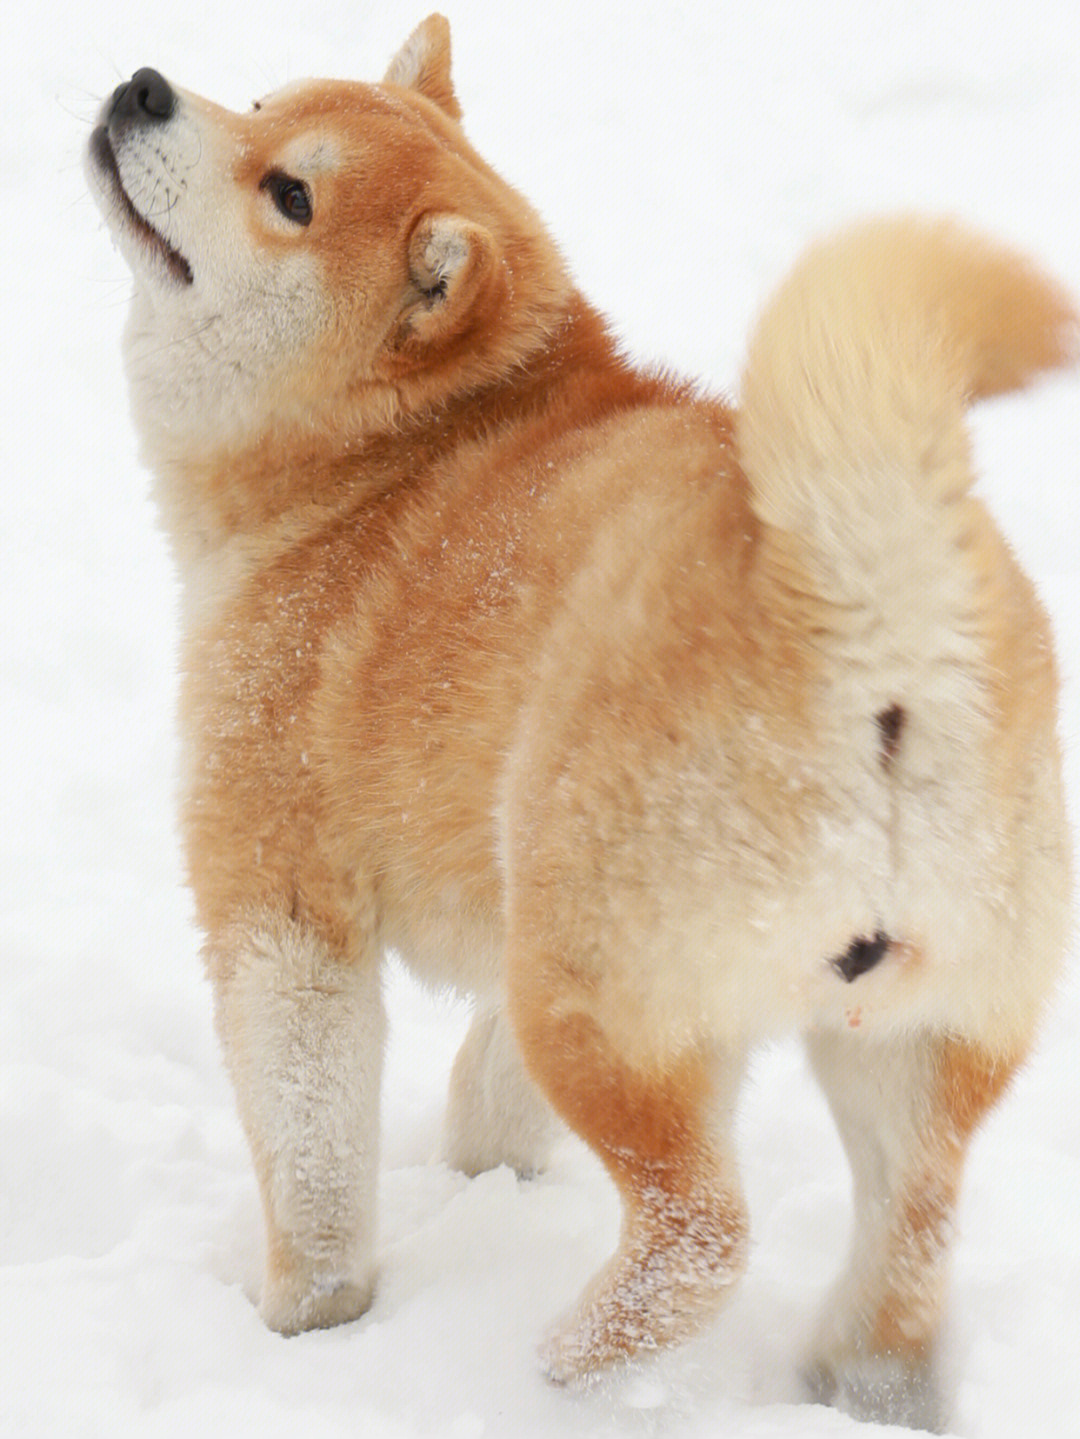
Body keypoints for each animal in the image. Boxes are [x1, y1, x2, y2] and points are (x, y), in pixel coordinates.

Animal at [88, 14, 1075, 1427]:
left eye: (291, 197)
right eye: (265, 100)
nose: (144, 88)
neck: (379, 470)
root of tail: (880, 617)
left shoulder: (283, 903)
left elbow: (313, 1151)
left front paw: (306, 1324)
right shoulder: (543, 923)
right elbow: (489, 1102)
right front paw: (483, 1175)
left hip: (596, 993)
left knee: (702, 1229)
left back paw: (570, 1361)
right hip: (903, 1031)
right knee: (911, 1229)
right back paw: (858, 1380)